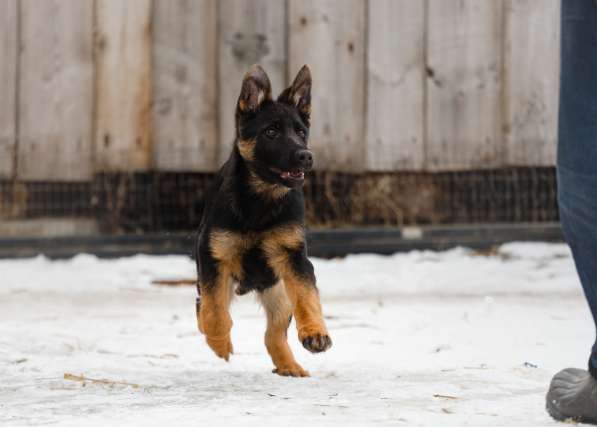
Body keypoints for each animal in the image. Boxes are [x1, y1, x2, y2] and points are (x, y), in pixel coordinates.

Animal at [198, 65, 332, 376]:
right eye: (271, 132)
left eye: (301, 132)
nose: (306, 156)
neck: (262, 198)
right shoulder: (213, 258)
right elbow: (214, 312)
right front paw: (219, 341)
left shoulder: (295, 258)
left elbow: (308, 297)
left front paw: (315, 332)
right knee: (207, 306)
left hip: (279, 294)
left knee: (273, 334)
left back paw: (289, 365)